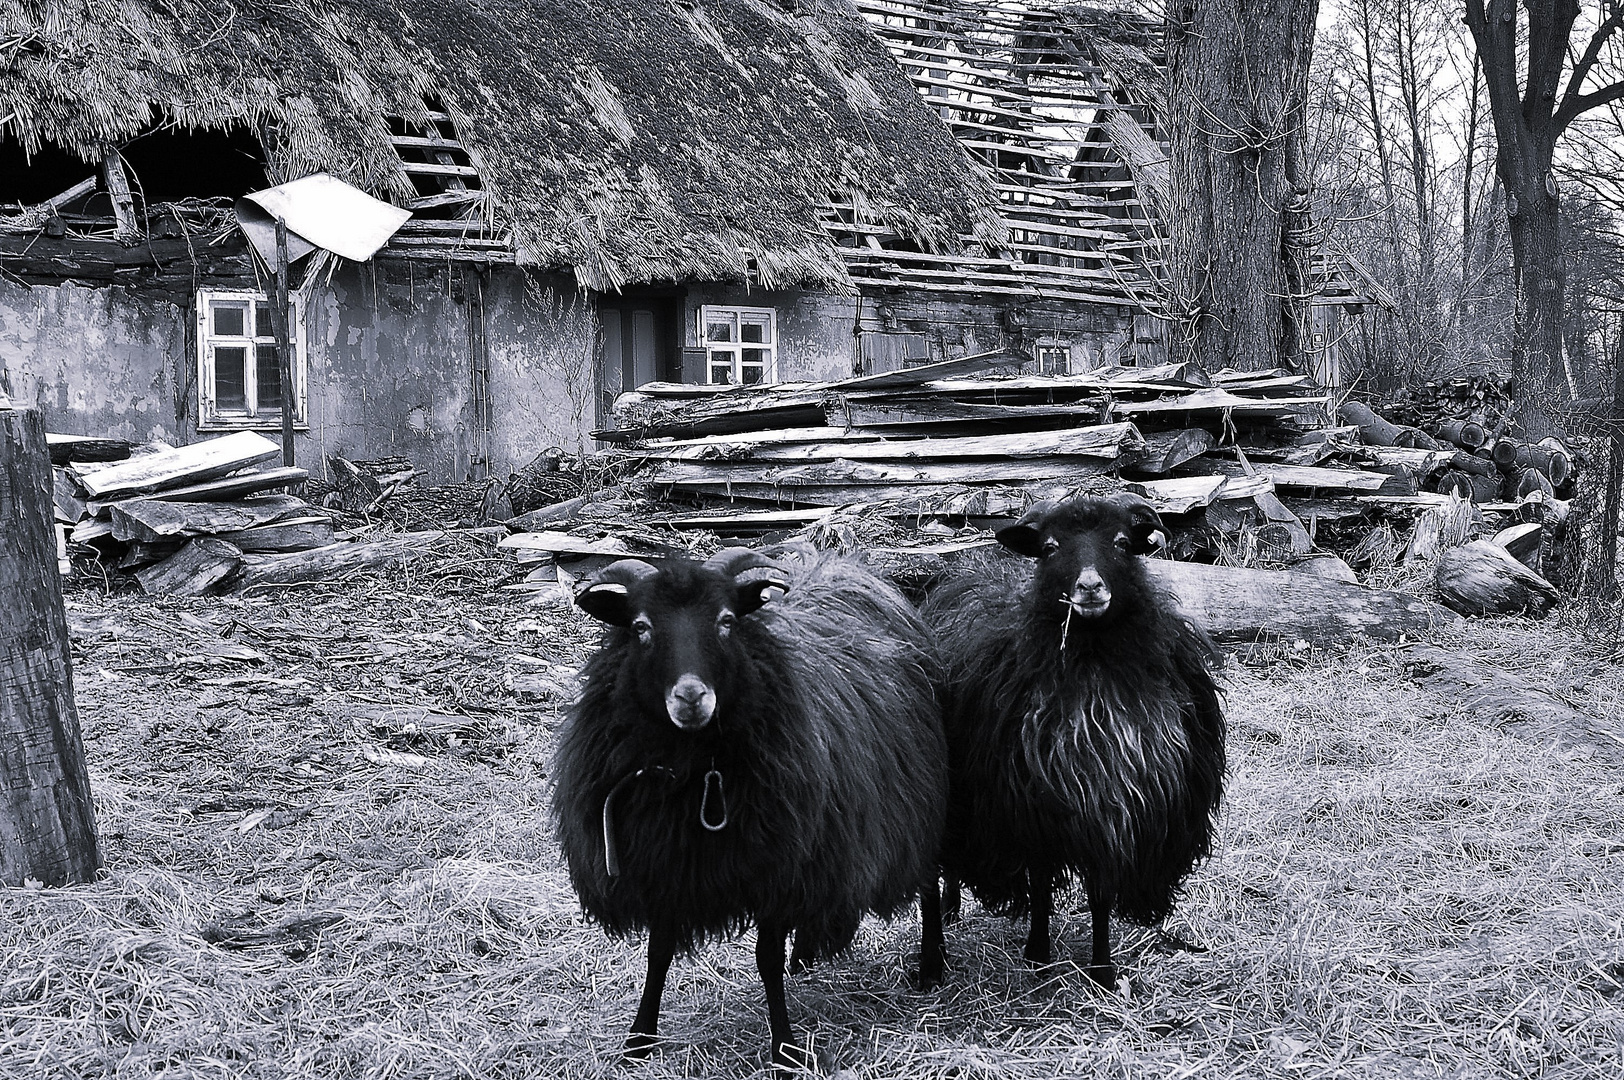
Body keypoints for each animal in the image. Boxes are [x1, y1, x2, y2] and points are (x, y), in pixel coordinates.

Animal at [548, 542, 948, 1065]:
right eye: (640, 627)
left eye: (726, 621)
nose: (691, 697)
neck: (700, 771)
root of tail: (842, 567)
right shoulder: (663, 861)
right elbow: (658, 954)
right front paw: (640, 1038)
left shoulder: (777, 865)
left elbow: (766, 959)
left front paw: (785, 1048)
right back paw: (807, 956)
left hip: (916, 798)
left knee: (928, 880)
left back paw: (932, 964)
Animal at [922, 493, 1221, 987]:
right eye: (1048, 548)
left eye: (1122, 542)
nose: (1090, 587)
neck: (1093, 664)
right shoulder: (1035, 801)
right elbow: (1042, 883)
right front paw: (1038, 954)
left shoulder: (1111, 801)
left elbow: (1100, 894)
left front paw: (1102, 970)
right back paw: (934, 950)